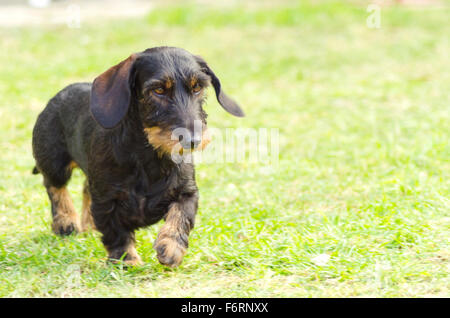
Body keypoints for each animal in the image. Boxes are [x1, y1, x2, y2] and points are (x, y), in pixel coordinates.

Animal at [32, 46, 243, 266]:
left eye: (197, 87)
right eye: (158, 90)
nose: (193, 140)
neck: (148, 156)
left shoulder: (187, 192)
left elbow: (181, 215)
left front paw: (171, 247)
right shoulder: (107, 201)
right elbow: (116, 232)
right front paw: (127, 260)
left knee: (84, 188)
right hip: (54, 162)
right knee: (54, 185)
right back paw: (66, 221)